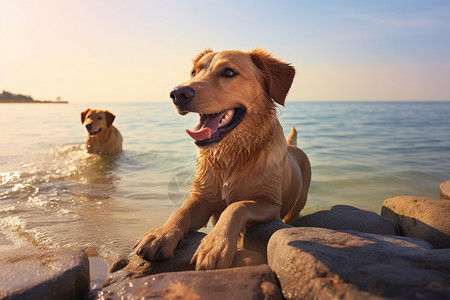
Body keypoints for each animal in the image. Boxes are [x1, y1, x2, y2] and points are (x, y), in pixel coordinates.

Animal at [134, 48, 310, 270]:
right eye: (194, 72)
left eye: (228, 72)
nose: (177, 94)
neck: (230, 156)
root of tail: (294, 147)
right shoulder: (202, 198)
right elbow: (181, 211)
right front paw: (161, 235)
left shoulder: (270, 203)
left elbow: (237, 206)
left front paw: (215, 245)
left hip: (298, 202)